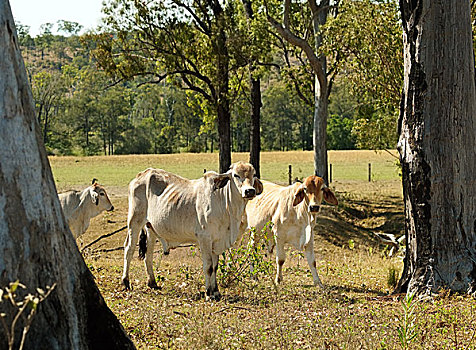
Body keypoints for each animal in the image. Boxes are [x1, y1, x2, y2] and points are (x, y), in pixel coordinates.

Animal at [122, 163, 264, 300]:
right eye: (236, 175)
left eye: (253, 174)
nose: (249, 191)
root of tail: (142, 174)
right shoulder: (205, 238)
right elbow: (209, 267)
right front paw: (209, 293)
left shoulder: (216, 241)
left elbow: (215, 267)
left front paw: (216, 292)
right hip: (134, 221)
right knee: (129, 249)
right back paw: (126, 282)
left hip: (151, 228)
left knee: (148, 254)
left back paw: (152, 283)